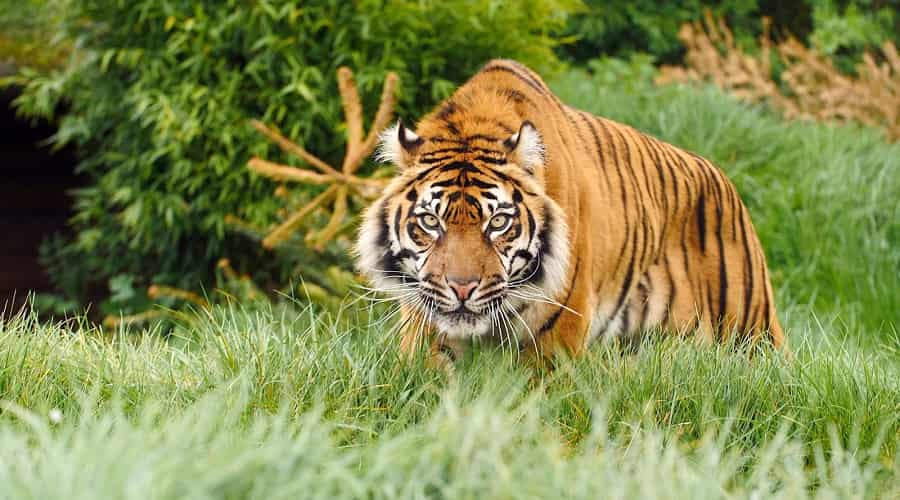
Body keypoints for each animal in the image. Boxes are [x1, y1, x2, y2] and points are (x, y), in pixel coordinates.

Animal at [356, 59, 784, 368]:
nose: (462, 289)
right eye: (431, 221)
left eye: (498, 223)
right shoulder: (426, 319)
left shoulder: (559, 328)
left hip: (752, 331)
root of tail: (725, 179)